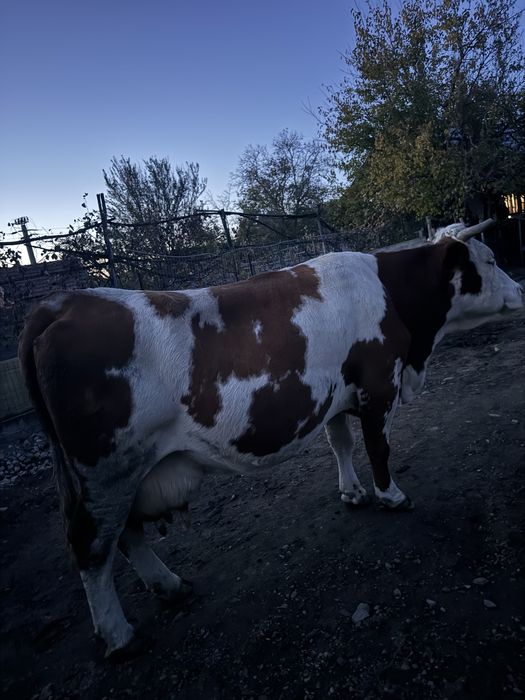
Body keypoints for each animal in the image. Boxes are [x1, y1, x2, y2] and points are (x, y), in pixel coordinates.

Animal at [18, 219, 523, 658]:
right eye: (491, 260)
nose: (521, 291)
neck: (392, 295)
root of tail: (61, 303)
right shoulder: (380, 385)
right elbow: (379, 447)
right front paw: (391, 496)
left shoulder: (334, 393)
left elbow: (341, 444)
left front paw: (353, 492)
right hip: (107, 472)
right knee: (93, 546)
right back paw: (119, 635)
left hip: (116, 475)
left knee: (125, 535)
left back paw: (171, 587)